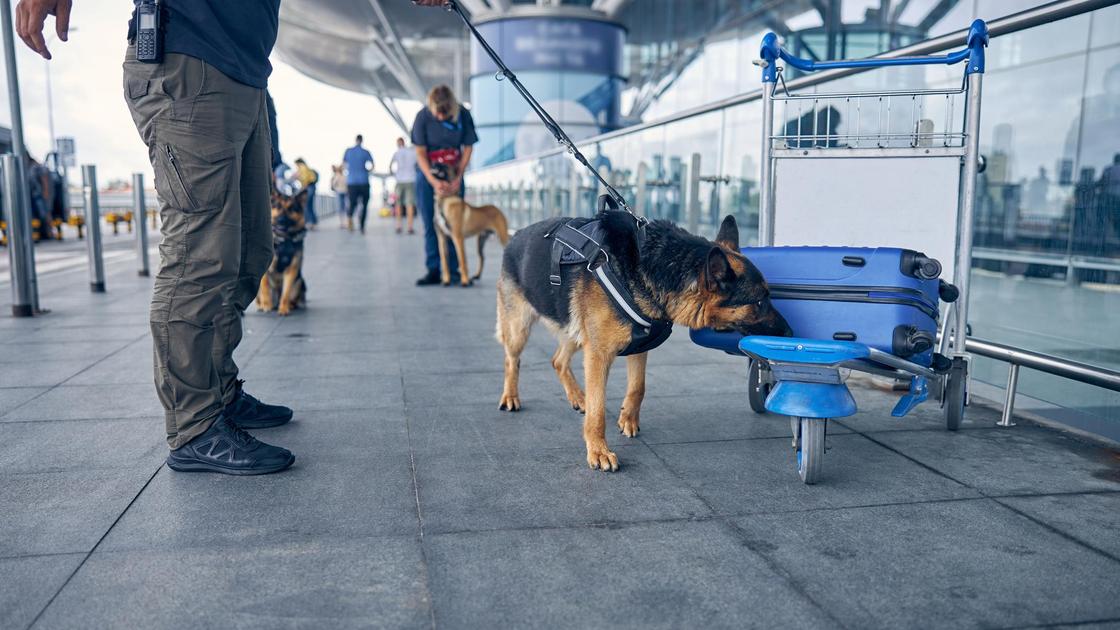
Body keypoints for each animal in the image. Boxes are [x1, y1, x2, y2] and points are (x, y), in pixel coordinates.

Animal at [495, 212, 792, 468]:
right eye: (759, 302)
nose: (790, 333)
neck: (649, 265)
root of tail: (516, 235)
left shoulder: (639, 346)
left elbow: (638, 386)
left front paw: (627, 418)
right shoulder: (598, 355)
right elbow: (598, 410)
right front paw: (598, 450)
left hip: (575, 331)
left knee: (557, 360)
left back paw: (578, 397)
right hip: (521, 328)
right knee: (512, 360)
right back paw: (511, 396)